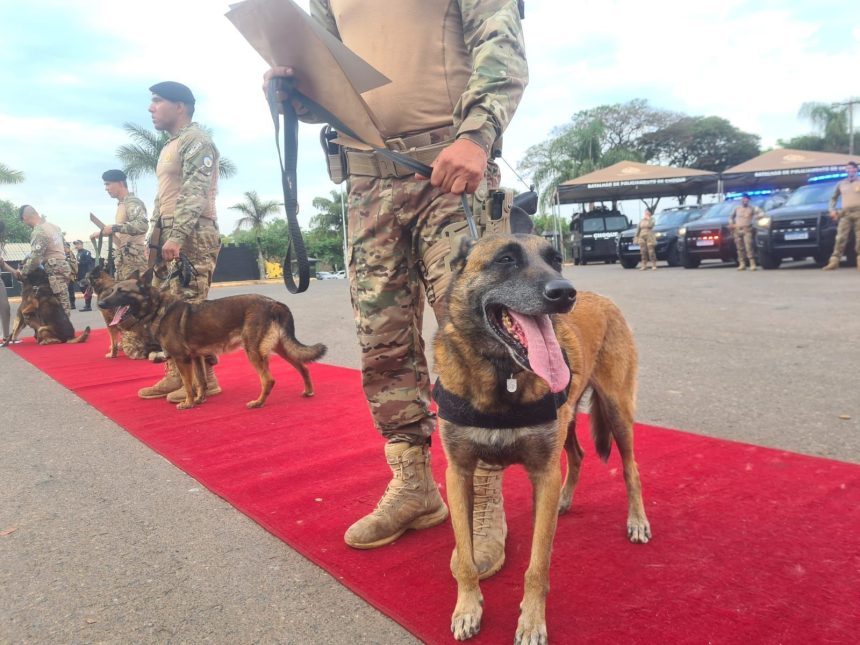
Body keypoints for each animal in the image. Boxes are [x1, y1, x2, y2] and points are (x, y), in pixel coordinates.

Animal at [97, 266, 326, 408]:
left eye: (121, 291)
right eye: (112, 289)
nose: (100, 303)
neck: (157, 308)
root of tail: (274, 303)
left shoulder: (182, 359)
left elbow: (188, 384)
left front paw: (188, 403)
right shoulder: (196, 357)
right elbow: (201, 382)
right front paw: (200, 400)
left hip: (253, 351)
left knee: (268, 379)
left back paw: (258, 403)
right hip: (279, 347)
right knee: (303, 366)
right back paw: (308, 391)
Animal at [434, 234, 648, 640]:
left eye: (556, 260)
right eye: (505, 259)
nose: (565, 293)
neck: (503, 373)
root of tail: (604, 299)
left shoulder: (543, 475)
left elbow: (538, 565)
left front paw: (532, 622)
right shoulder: (459, 473)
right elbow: (466, 556)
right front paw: (468, 607)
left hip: (618, 413)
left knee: (631, 469)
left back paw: (637, 520)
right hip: (569, 422)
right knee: (578, 455)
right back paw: (566, 499)